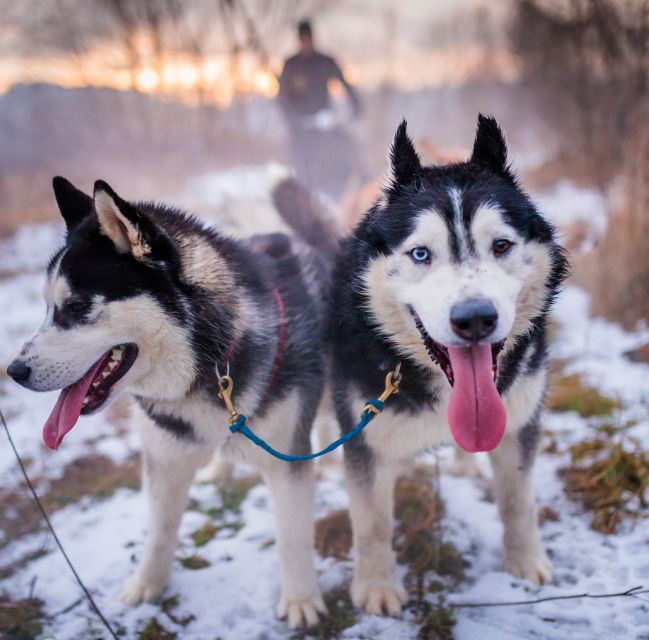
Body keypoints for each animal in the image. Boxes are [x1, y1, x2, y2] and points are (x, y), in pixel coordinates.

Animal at [5, 178, 330, 628]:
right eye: (48, 307)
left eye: (76, 306)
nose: (14, 371)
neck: (206, 369)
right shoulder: (163, 459)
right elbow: (159, 533)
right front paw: (147, 587)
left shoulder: (286, 463)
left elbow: (293, 538)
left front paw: (300, 599)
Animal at [326, 116, 564, 616]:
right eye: (421, 253)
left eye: (501, 245)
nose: (474, 318)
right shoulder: (365, 435)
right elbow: (372, 522)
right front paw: (376, 586)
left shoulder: (519, 420)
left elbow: (518, 501)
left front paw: (525, 560)